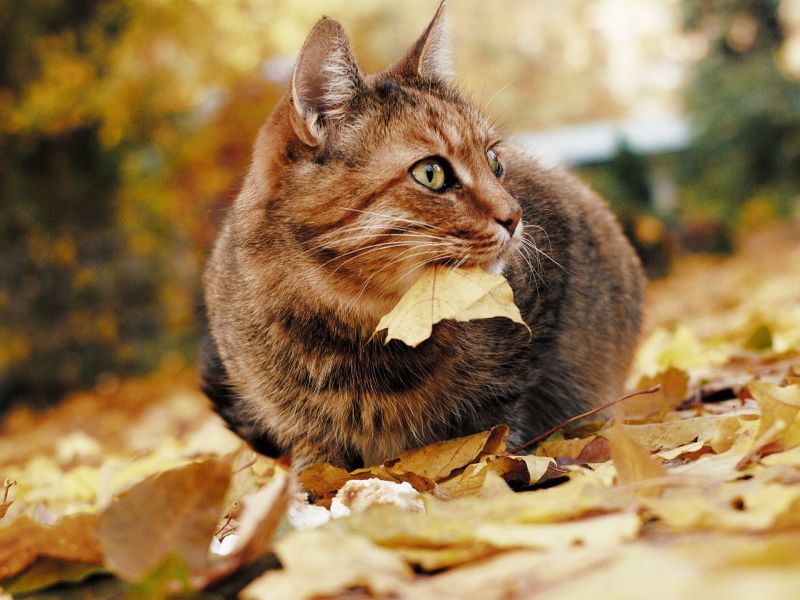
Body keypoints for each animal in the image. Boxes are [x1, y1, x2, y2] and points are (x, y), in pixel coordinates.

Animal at [200, 3, 644, 474]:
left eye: (494, 161)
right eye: (431, 173)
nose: (515, 215)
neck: (361, 333)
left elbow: (494, 424)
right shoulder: (298, 424)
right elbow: (315, 464)